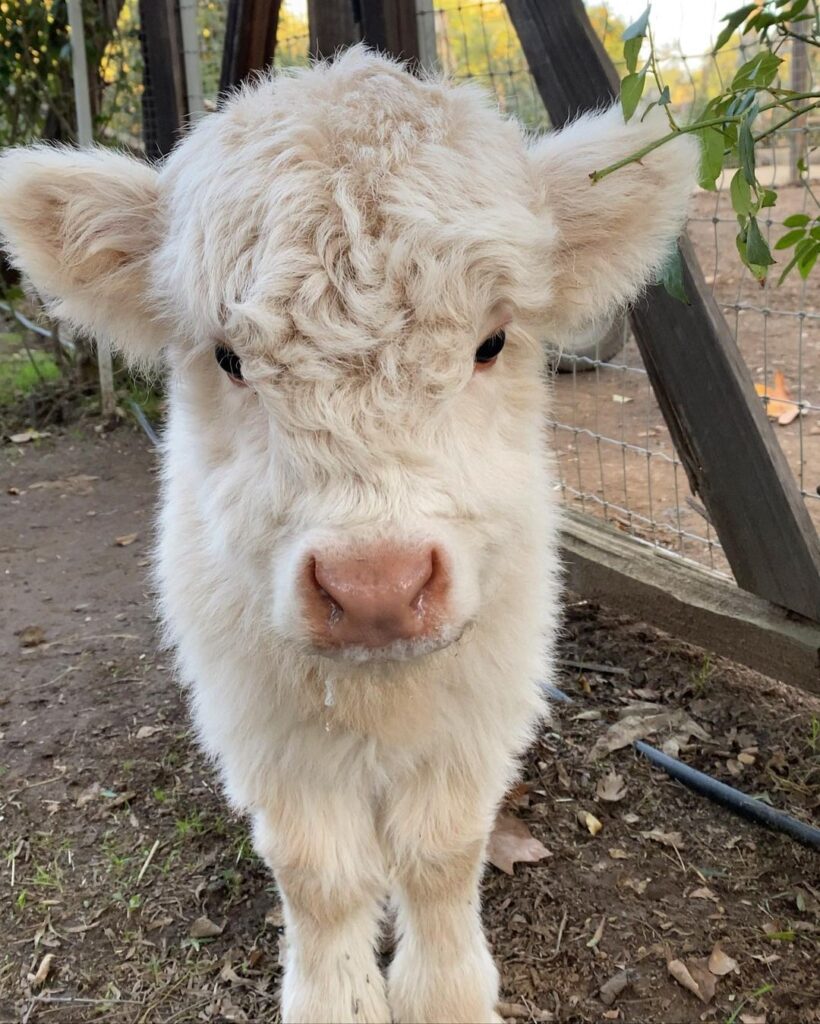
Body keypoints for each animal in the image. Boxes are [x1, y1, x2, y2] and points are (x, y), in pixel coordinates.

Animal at [0, 48, 696, 1024]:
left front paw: (445, 996)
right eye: (229, 358)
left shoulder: (481, 706)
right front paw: (339, 998)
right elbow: (317, 874)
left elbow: (442, 853)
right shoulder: (264, 724)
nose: (377, 588)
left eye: (491, 343)